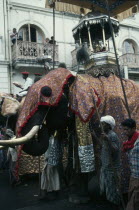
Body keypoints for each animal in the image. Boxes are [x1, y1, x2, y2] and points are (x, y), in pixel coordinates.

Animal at [0, 67, 139, 199]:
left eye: (46, 92)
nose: (42, 125)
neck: (73, 80)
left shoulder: (85, 111)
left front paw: (78, 197)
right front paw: (73, 192)